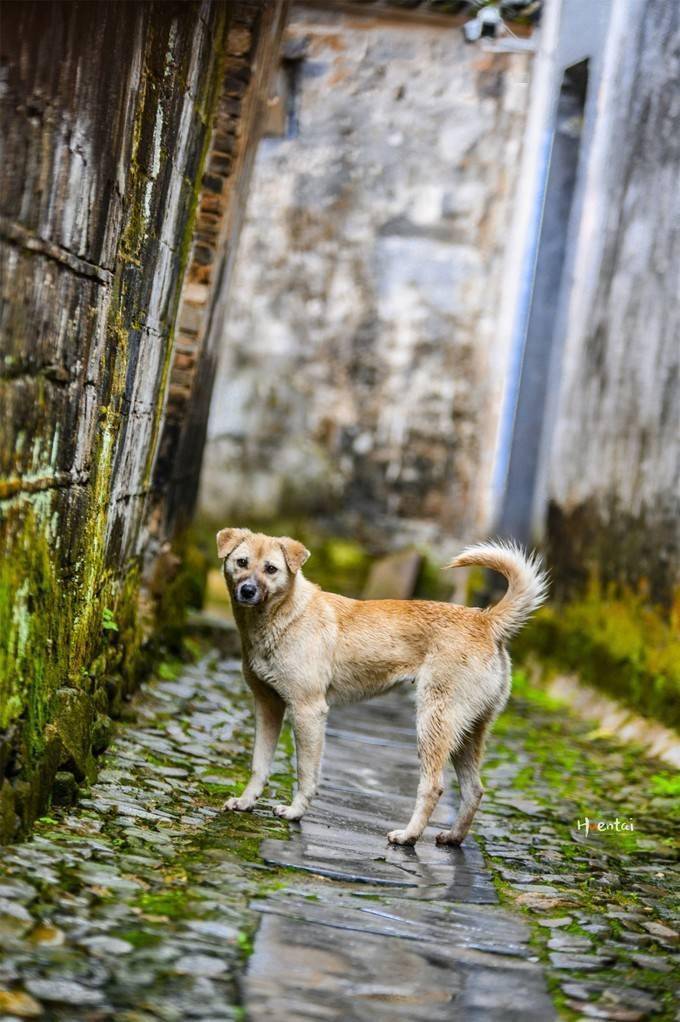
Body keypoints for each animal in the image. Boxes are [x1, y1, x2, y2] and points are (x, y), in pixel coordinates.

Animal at [217, 527, 548, 846]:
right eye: (242, 562)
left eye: (271, 569)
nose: (247, 590)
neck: (285, 616)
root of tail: (487, 621)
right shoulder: (267, 705)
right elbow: (259, 764)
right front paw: (245, 803)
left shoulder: (308, 711)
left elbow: (306, 772)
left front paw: (295, 812)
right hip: (467, 731)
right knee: (474, 790)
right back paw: (452, 838)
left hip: (433, 723)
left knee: (434, 786)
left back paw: (408, 836)